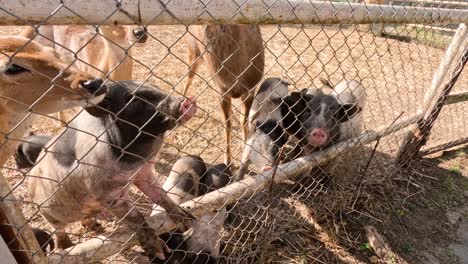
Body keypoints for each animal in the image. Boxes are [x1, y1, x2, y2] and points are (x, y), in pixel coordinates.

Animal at [15, 81, 197, 262]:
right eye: (132, 99)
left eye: (155, 86)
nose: (187, 100)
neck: (133, 161)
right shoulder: (106, 192)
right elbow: (135, 215)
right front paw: (160, 252)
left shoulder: (143, 172)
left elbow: (160, 195)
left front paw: (189, 220)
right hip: (48, 213)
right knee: (58, 229)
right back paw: (67, 246)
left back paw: (94, 225)